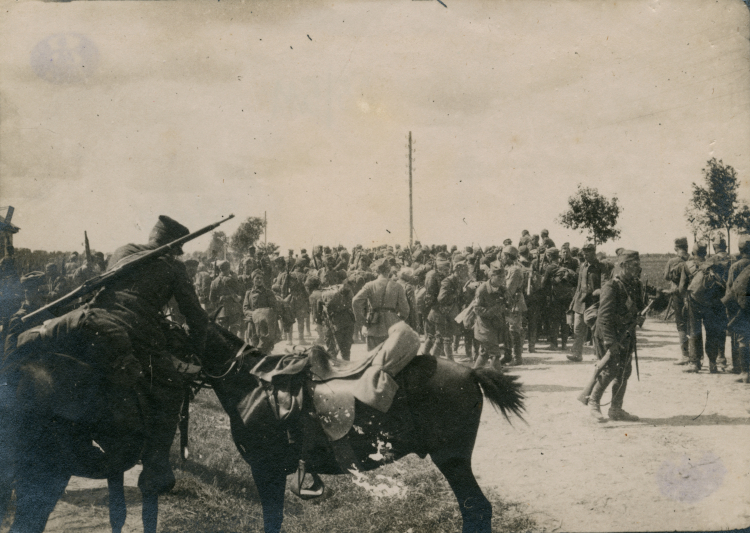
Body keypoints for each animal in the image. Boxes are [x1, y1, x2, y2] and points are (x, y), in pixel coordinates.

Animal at [200, 320, 528, 532]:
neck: (251, 381)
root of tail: (471, 372)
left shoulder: (265, 469)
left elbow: (273, 520)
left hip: (453, 460)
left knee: (477, 508)